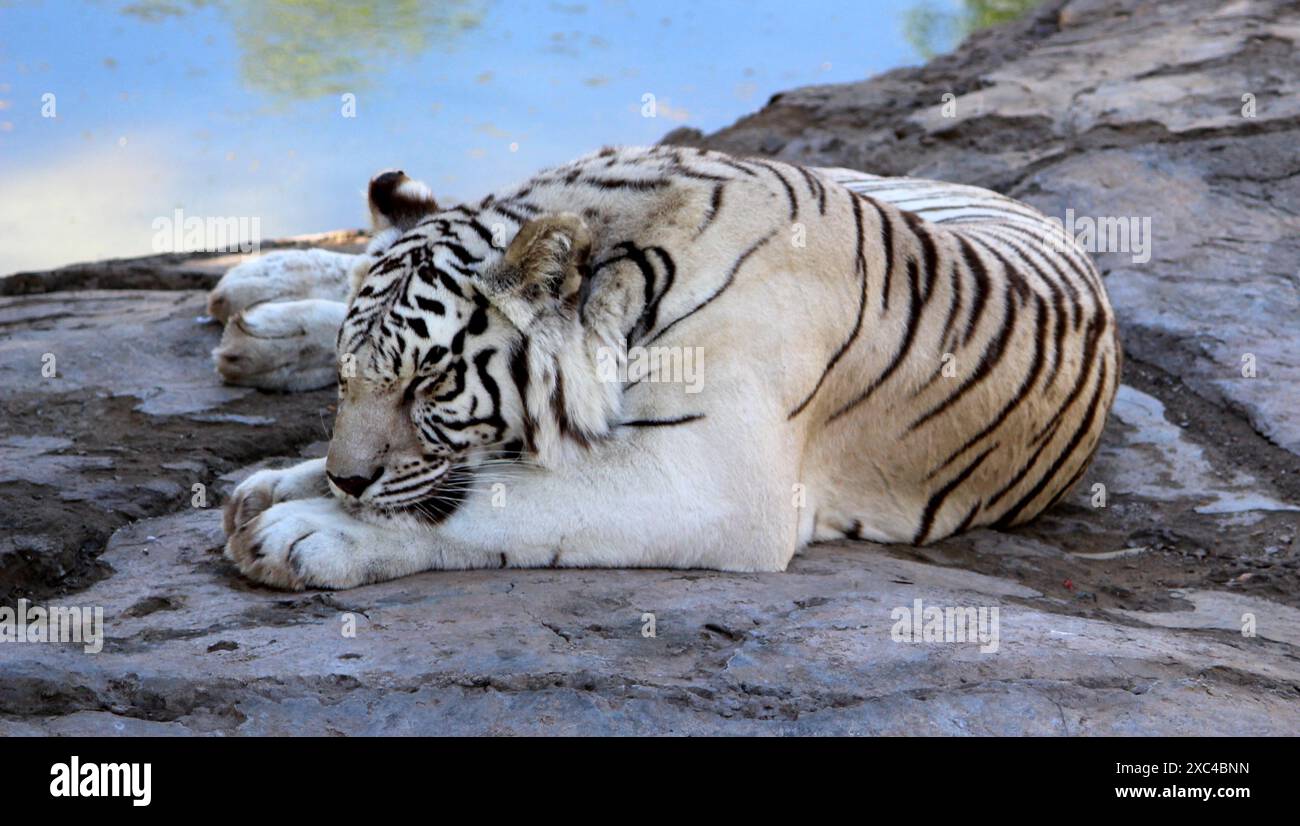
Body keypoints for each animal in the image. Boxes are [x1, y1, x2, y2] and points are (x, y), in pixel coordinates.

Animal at [210, 144, 1120, 590]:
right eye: (348, 380)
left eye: (429, 384)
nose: (347, 478)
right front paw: (287, 483)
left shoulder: (711, 482)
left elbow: (497, 502)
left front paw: (298, 526)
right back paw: (252, 302)